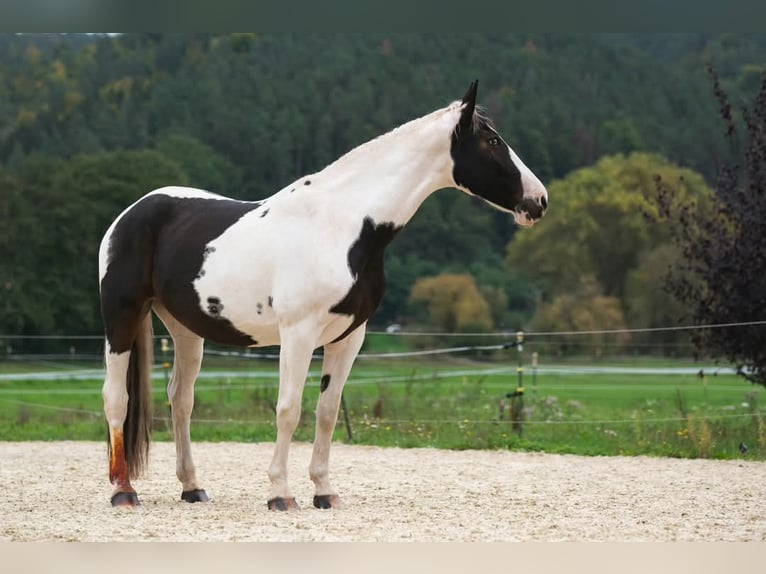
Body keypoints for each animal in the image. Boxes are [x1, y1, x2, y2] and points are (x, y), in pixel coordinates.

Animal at [99, 80, 548, 508]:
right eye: (492, 141)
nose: (539, 201)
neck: (345, 225)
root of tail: (132, 212)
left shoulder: (349, 337)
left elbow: (327, 412)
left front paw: (323, 492)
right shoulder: (298, 335)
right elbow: (288, 409)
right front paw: (280, 493)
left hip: (187, 330)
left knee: (181, 400)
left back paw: (192, 487)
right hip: (121, 317)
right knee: (117, 397)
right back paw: (123, 490)